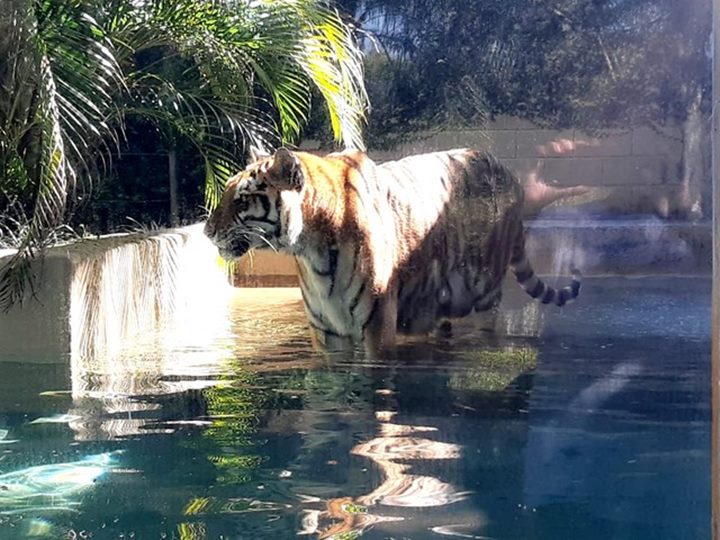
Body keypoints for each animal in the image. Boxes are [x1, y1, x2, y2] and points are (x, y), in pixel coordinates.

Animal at [202, 147, 580, 354]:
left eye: (242, 200)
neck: (311, 249)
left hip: (485, 294)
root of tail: (511, 176)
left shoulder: (376, 325)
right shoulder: (326, 333)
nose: (207, 231)